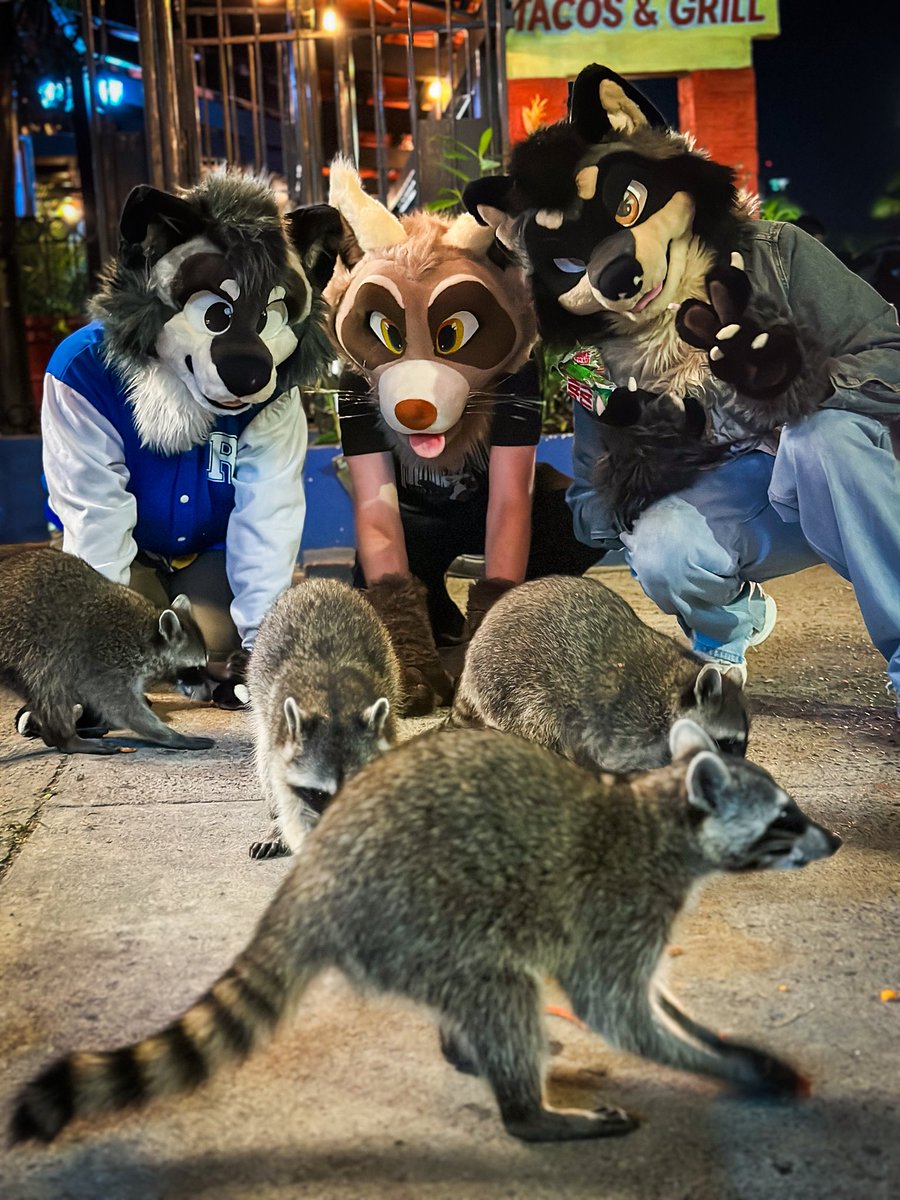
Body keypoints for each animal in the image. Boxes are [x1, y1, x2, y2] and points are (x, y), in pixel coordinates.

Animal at [0, 547, 213, 753]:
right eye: (196, 668)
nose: (209, 696)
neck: (146, 630)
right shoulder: (105, 662)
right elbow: (122, 708)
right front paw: (169, 736)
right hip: (26, 650)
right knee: (49, 686)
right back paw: (65, 739)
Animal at [11, 720, 840, 1146]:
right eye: (786, 819)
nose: (831, 842)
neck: (660, 815)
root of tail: (313, 878)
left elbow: (651, 1004)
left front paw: (727, 1046)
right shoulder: (618, 901)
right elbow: (617, 1010)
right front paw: (730, 1066)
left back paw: (473, 1052)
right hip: (419, 914)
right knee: (499, 986)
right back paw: (529, 1113)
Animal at [247, 577, 402, 859]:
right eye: (319, 793)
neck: (334, 710)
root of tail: (319, 581)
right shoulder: (284, 749)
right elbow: (292, 807)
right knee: (263, 758)